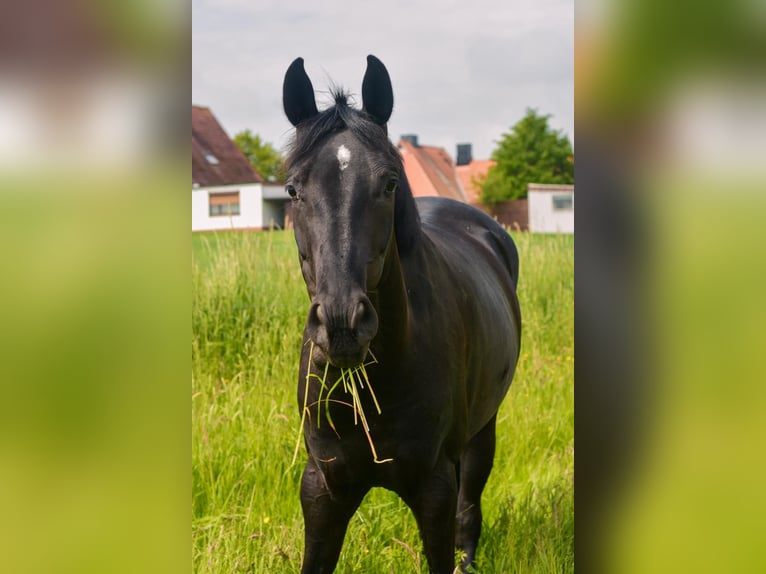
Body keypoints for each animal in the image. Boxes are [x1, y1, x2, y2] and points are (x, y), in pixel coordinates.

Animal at [284, 55, 524, 574]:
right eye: (292, 190)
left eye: (389, 184)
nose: (342, 324)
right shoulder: (323, 490)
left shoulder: (435, 489)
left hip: (482, 432)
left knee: (469, 510)